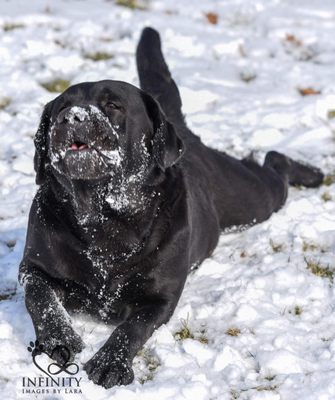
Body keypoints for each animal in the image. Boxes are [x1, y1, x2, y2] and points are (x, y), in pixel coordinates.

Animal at [19, 27, 326, 388]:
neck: (104, 218)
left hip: (253, 198)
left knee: (274, 163)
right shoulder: (33, 267)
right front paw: (60, 338)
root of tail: (179, 128)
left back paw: (313, 173)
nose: (72, 117)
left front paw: (110, 363)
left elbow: (132, 328)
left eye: (113, 105)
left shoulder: (160, 297)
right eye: (61, 108)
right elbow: (41, 299)